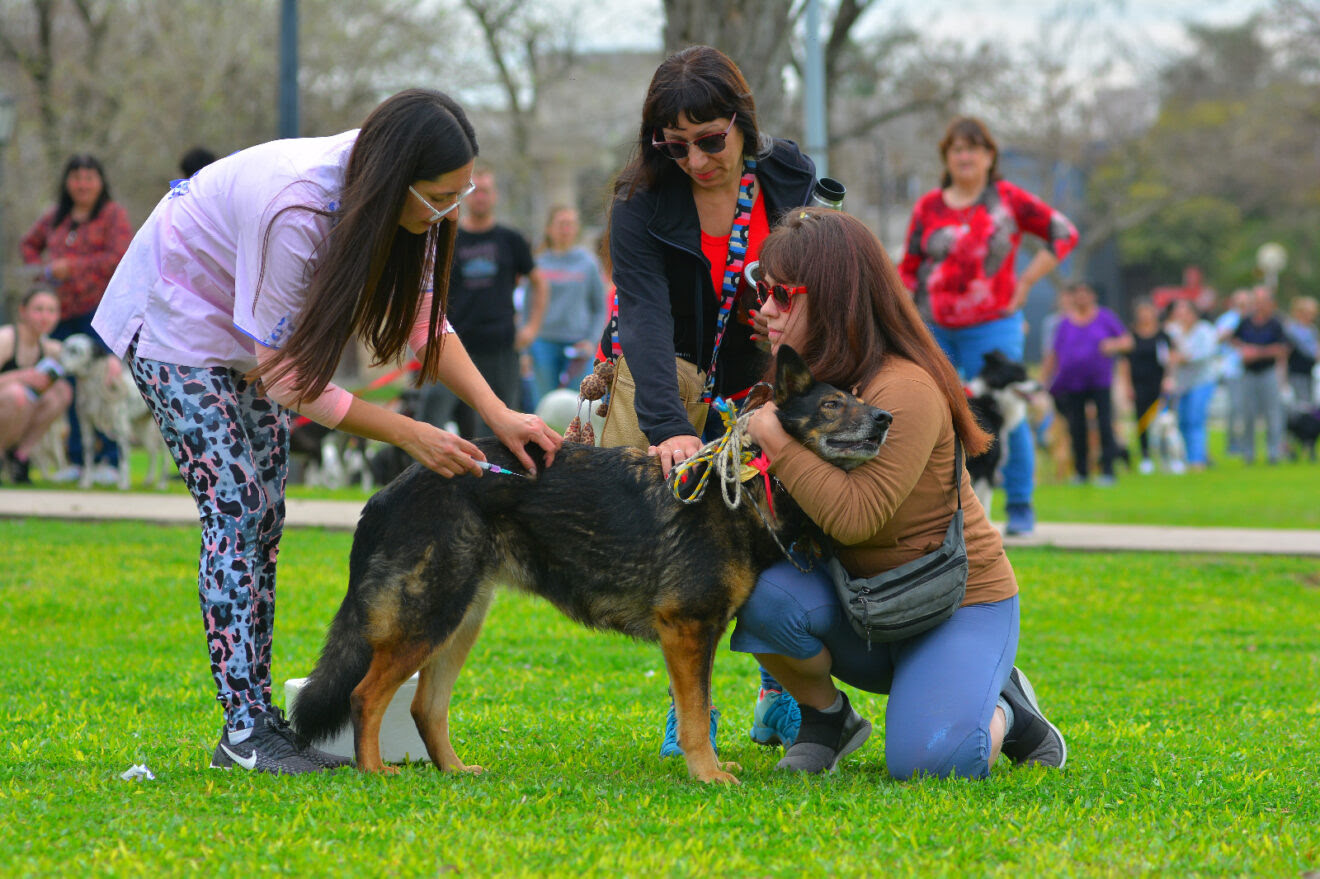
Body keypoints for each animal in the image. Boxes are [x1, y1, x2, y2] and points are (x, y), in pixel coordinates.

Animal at [58, 332, 170, 488]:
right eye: (64, 348)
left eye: (75, 351)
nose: (58, 362)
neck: (94, 392)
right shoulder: (86, 427)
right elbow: (88, 458)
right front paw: (86, 482)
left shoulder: (120, 428)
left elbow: (123, 458)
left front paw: (123, 484)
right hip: (139, 429)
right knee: (153, 452)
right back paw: (148, 480)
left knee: (165, 457)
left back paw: (162, 483)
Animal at [287, 345, 887, 781]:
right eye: (832, 406)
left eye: (855, 399)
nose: (884, 419)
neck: (744, 484)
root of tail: (388, 491)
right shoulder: (687, 630)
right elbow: (695, 715)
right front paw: (709, 776)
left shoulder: (698, 635)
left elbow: (699, 708)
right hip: (431, 616)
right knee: (365, 695)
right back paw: (375, 773)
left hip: (459, 621)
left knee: (424, 707)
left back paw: (454, 771)